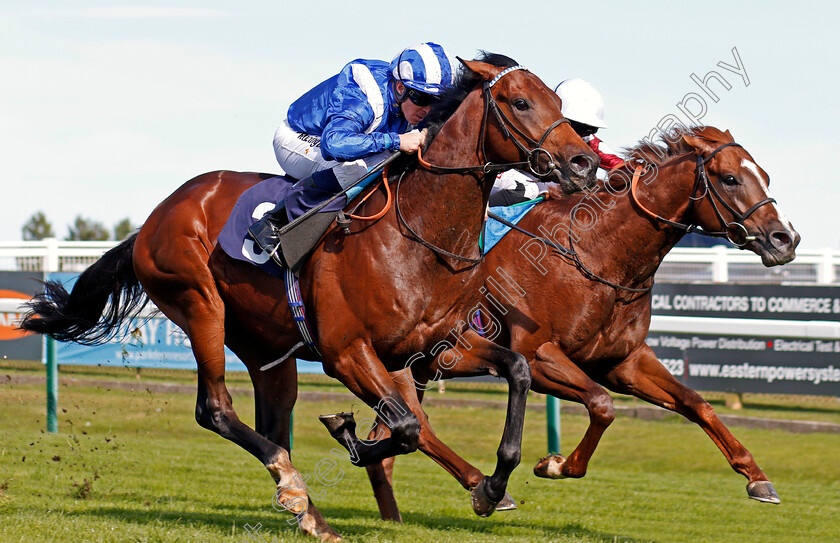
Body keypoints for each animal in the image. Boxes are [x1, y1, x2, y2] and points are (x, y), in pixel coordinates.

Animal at [19, 57, 596, 540]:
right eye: (520, 103)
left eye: (558, 102)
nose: (583, 163)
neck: (417, 234)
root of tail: (152, 220)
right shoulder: (347, 353)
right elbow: (408, 426)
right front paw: (351, 434)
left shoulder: (438, 345)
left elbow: (516, 370)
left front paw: (491, 486)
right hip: (198, 303)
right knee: (215, 409)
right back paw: (296, 487)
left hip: (266, 348)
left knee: (274, 424)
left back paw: (305, 505)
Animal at [364, 126, 796, 524]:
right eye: (730, 178)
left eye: (765, 176)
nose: (785, 239)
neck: (598, 254)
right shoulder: (538, 357)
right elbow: (601, 405)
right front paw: (554, 465)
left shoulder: (622, 362)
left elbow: (697, 403)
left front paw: (757, 477)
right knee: (418, 428)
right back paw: (484, 490)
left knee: (390, 439)